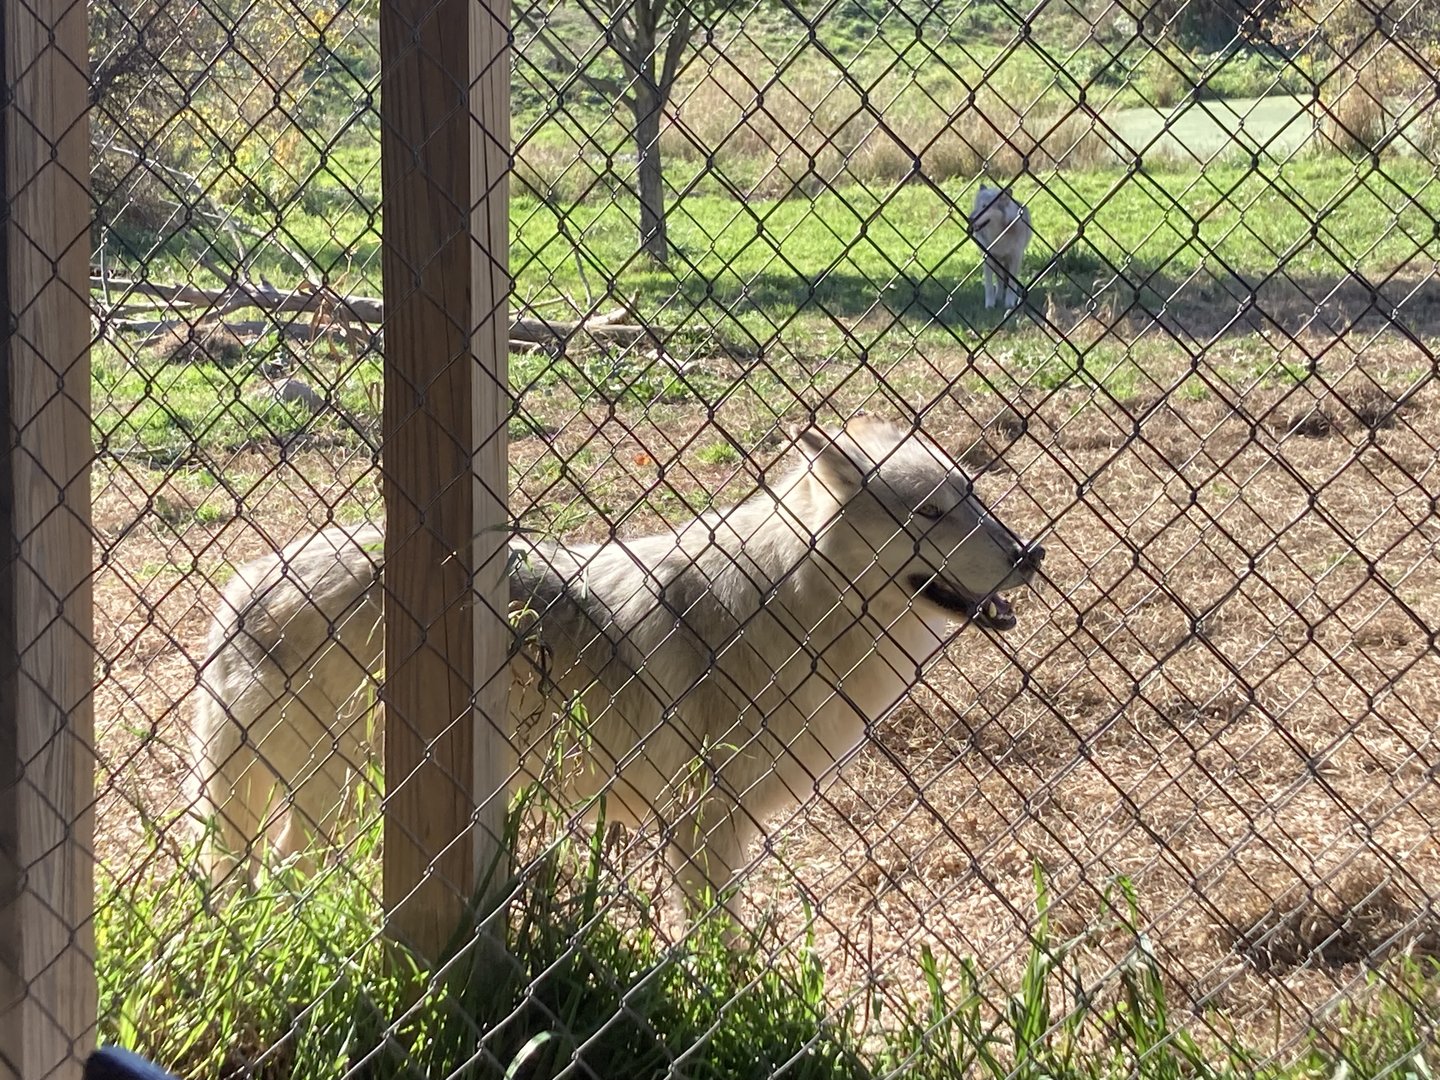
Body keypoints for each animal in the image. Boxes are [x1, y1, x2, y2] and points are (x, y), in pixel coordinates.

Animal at [189, 416, 1045, 904]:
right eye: (930, 512)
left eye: (974, 495)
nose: (1031, 553)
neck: (792, 603)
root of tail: (244, 584)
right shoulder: (704, 827)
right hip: (338, 800)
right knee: (281, 875)